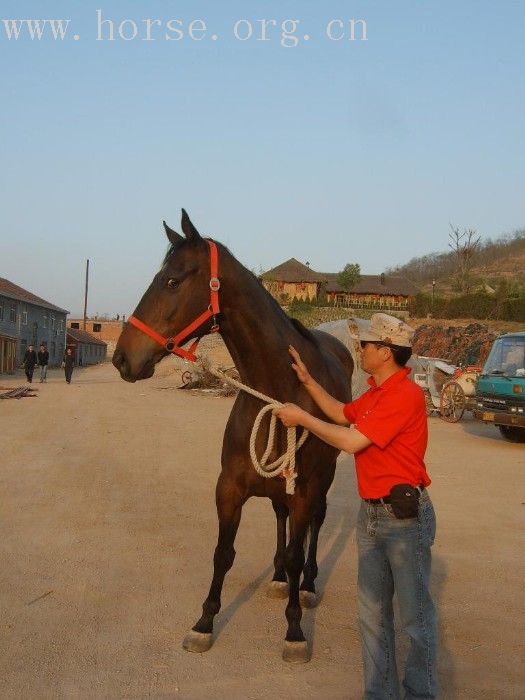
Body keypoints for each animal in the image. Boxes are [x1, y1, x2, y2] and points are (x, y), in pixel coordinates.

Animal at [113, 212, 352, 660]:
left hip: (322, 479)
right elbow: (223, 554)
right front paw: (204, 622)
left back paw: (308, 585)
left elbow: (297, 551)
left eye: (173, 280)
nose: (121, 358)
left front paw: (295, 630)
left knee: (315, 525)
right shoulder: (229, 487)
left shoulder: (303, 490)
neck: (276, 392)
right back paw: (277, 578)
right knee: (280, 519)